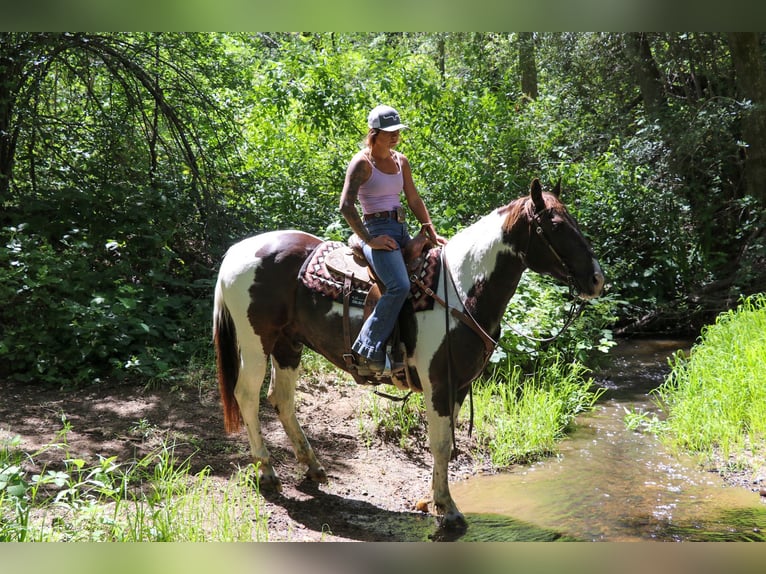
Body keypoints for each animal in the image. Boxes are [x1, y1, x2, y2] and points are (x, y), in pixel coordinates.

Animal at [213, 178, 604, 529]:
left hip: (288, 344)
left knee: (281, 399)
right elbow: (441, 443)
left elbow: (446, 442)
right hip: (256, 342)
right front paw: (448, 510)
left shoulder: (458, 385)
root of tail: (237, 251)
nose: (597, 280)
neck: (460, 288)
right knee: (247, 396)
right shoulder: (438, 383)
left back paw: (313, 467)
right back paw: (267, 472)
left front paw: (433, 500)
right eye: (556, 225)